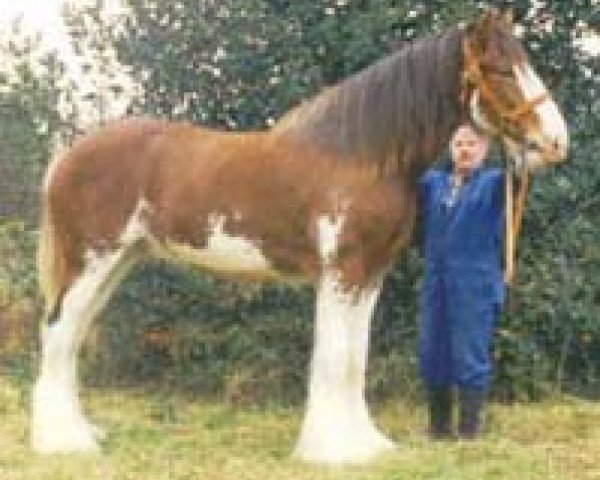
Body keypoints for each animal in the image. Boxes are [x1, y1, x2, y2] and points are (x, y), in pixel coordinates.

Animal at [31, 8, 568, 464]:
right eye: (501, 70)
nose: (557, 142)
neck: (363, 157)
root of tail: (65, 157)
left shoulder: (369, 275)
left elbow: (355, 357)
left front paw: (366, 443)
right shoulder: (341, 273)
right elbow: (334, 357)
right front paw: (332, 450)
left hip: (118, 262)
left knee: (72, 334)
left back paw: (78, 432)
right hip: (92, 259)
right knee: (58, 332)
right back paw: (64, 441)